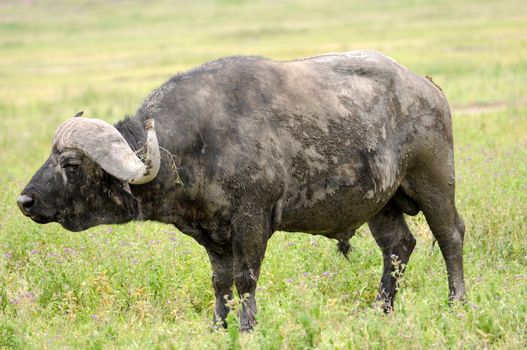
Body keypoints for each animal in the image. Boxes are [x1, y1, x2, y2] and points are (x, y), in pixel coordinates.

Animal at [18, 50, 468, 330]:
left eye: (71, 164)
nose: (25, 200)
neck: (198, 143)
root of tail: (427, 87)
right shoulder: (211, 236)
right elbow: (221, 283)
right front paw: (219, 326)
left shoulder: (251, 222)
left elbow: (246, 278)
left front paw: (249, 326)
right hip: (381, 204)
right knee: (398, 249)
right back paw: (381, 310)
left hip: (434, 183)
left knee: (450, 236)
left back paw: (457, 303)